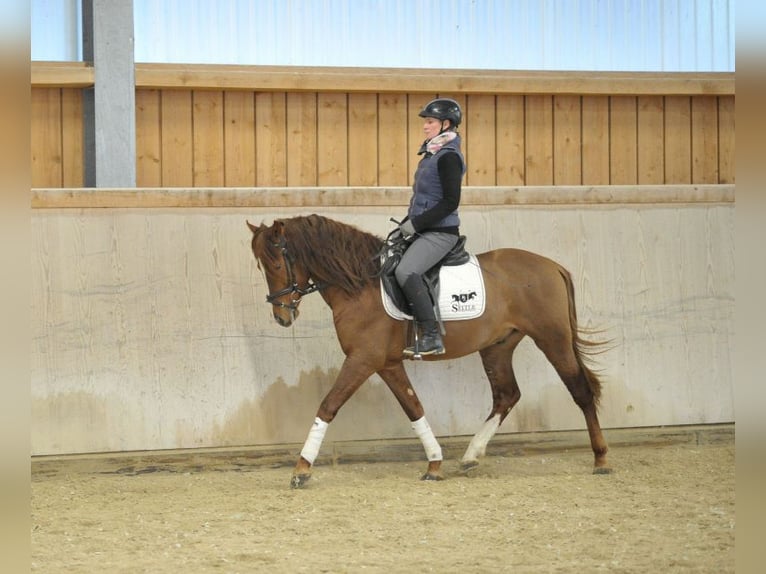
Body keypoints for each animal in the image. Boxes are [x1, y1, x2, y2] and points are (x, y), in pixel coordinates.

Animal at [248, 216, 612, 490]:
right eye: (261, 267)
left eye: (277, 262)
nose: (282, 316)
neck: (360, 285)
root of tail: (552, 265)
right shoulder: (387, 363)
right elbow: (414, 407)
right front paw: (435, 464)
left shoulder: (363, 359)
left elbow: (328, 405)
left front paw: (301, 469)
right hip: (497, 347)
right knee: (507, 395)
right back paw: (471, 456)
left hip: (553, 338)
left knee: (580, 390)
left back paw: (601, 459)